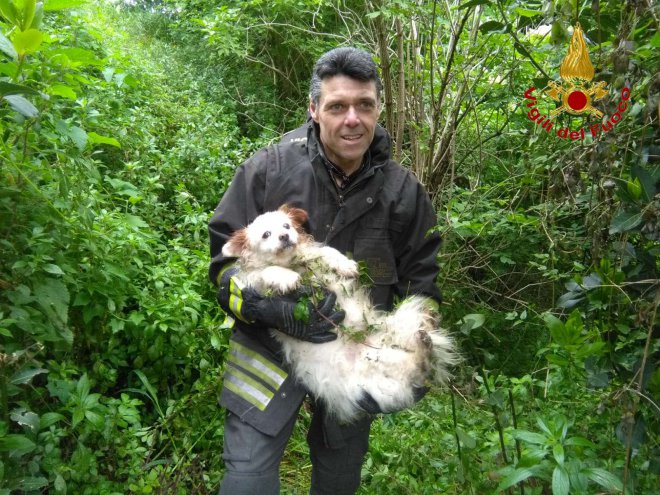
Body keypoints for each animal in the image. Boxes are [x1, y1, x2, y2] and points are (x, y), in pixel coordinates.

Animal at [224, 207, 456, 424]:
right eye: (266, 234)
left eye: (287, 226)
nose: (285, 236)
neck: (292, 263)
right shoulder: (255, 285)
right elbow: (265, 271)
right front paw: (286, 277)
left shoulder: (314, 254)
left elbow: (326, 251)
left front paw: (345, 265)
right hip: (379, 370)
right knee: (417, 364)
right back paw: (425, 344)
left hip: (392, 335)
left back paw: (427, 331)